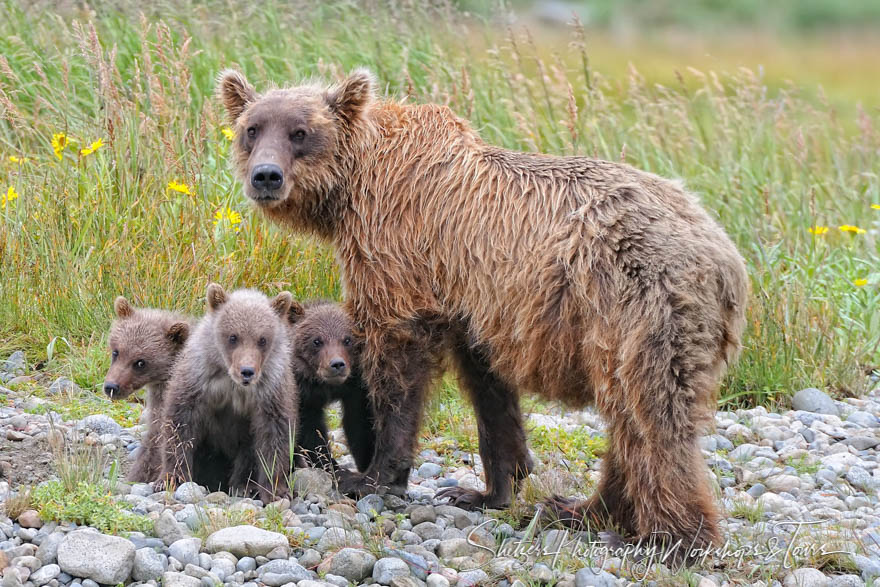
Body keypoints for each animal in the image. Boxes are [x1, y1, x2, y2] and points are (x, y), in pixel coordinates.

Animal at [220, 69, 748, 552]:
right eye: (253, 128)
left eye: (300, 132)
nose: (266, 176)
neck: (355, 187)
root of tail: (728, 259)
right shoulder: (475, 302)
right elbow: (488, 386)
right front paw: (488, 488)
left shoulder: (399, 250)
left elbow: (398, 360)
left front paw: (371, 473)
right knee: (628, 418)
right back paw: (579, 509)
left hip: (637, 304)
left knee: (651, 415)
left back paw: (671, 537)